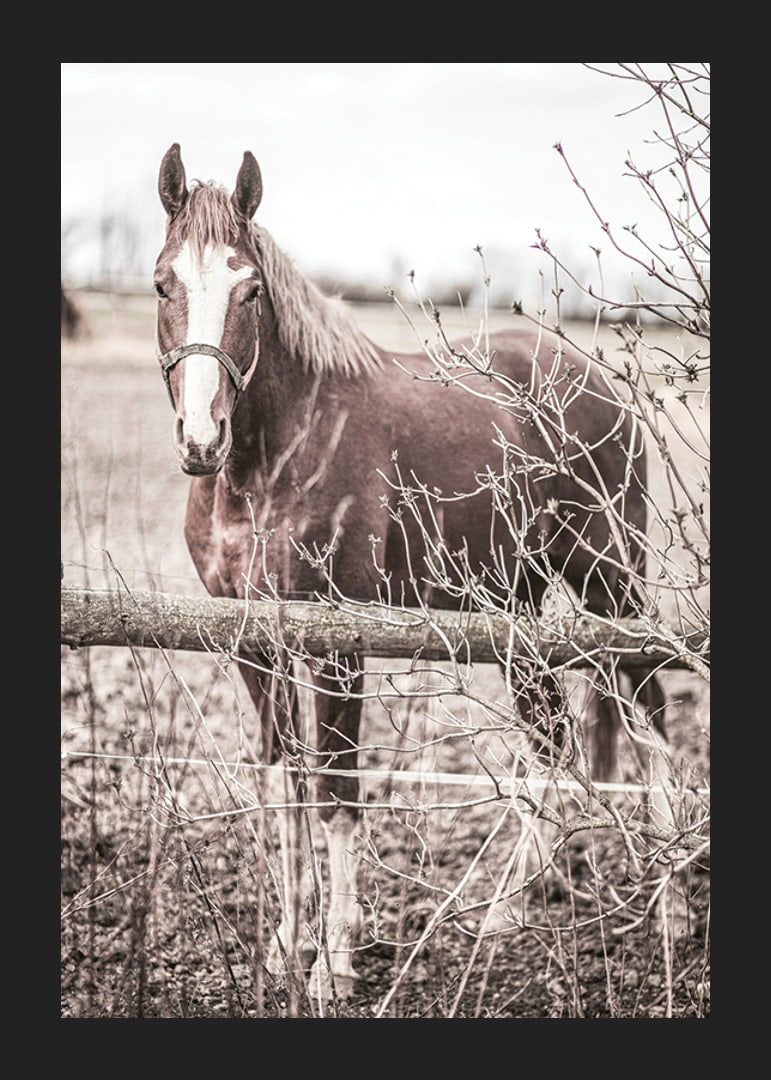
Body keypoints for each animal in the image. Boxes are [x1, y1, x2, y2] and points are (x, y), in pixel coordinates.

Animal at [153, 144, 667, 1008]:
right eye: (163, 282)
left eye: (248, 288)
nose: (201, 438)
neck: (274, 458)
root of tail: (595, 380)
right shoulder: (251, 643)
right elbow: (285, 782)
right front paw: (286, 944)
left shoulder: (338, 645)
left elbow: (336, 792)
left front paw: (333, 960)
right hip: (514, 612)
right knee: (553, 739)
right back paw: (504, 914)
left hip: (609, 584)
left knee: (650, 715)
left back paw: (670, 909)